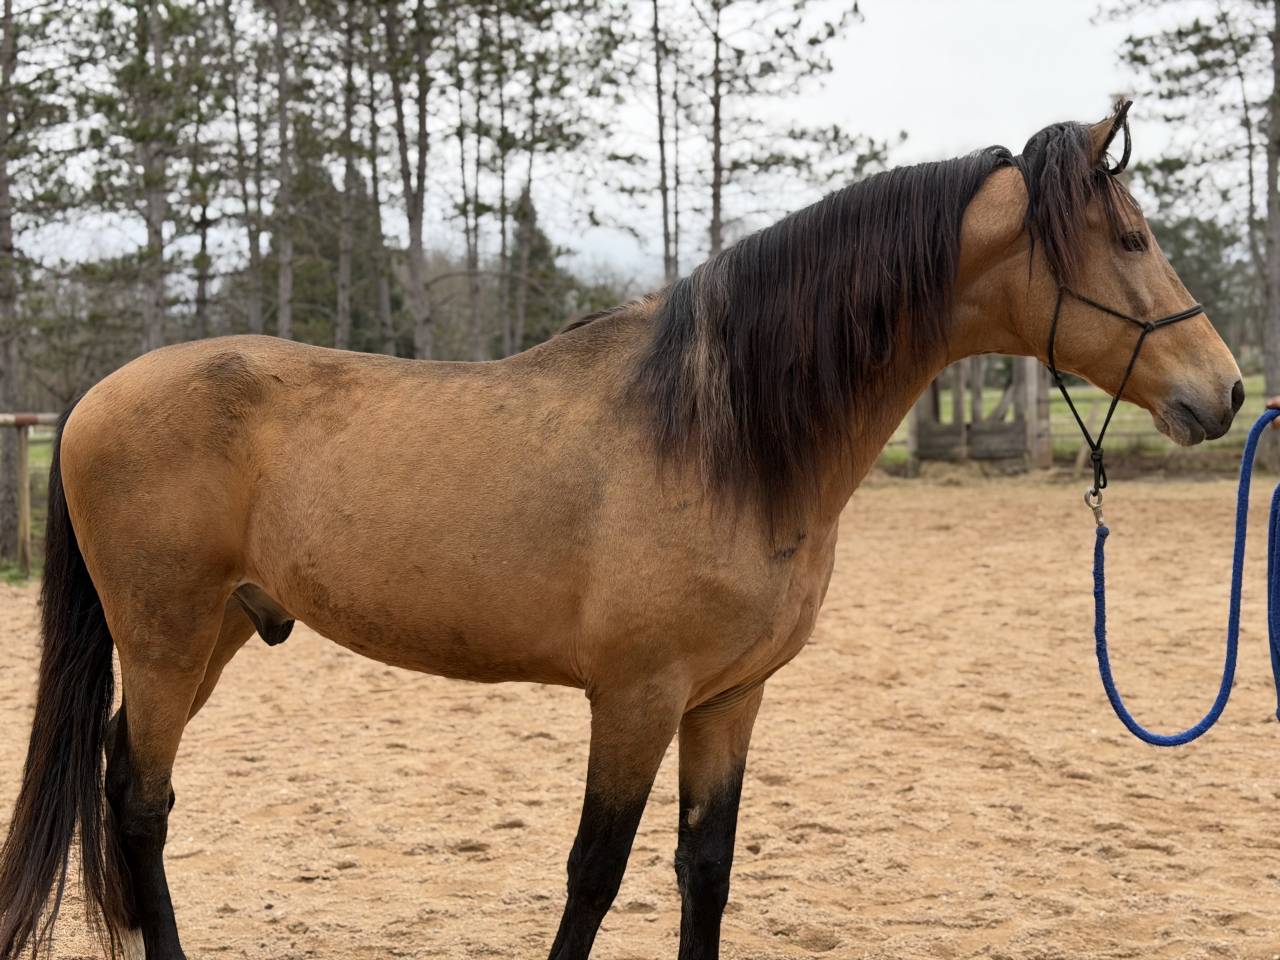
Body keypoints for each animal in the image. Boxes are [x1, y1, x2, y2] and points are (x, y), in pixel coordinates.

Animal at [0, 101, 1243, 960]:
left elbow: (705, 870)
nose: (1224, 392)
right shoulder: (634, 698)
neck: (719, 435)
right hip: (166, 642)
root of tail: (98, 393)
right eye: (1128, 240)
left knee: (122, 782)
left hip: (210, 636)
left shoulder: (727, 701)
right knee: (141, 803)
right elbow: (593, 876)